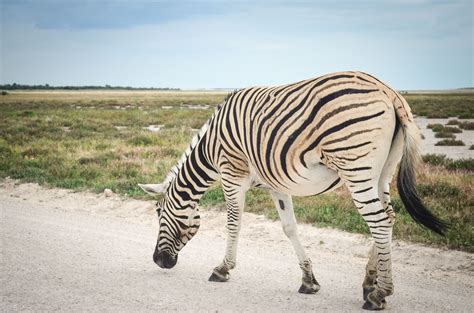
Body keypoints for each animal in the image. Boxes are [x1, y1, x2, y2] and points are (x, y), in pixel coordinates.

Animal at [138, 71, 448, 310]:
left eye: (158, 213)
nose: (158, 261)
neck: (211, 148)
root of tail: (389, 90)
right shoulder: (276, 184)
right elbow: (290, 228)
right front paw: (308, 280)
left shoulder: (232, 173)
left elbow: (234, 223)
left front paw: (222, 269)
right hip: (382, 172)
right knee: (389, 218)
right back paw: (369, 285)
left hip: (356, 167)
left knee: (379, 221)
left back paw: (380, 294)